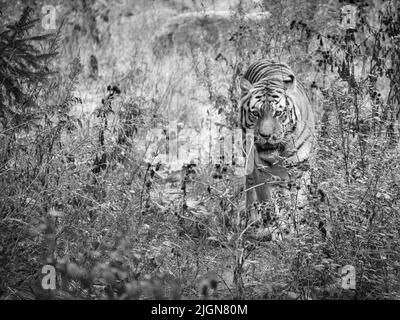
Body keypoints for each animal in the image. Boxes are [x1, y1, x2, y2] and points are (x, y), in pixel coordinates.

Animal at [239, 59, 318, 232]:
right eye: (256, 113)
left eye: (278, 113)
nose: (265, 136)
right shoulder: (262, 173)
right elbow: (270, 204)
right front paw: (279, 230)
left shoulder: (302, 169)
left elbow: (298, 203)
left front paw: (298, 230)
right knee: (249, 185)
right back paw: (251, 219)